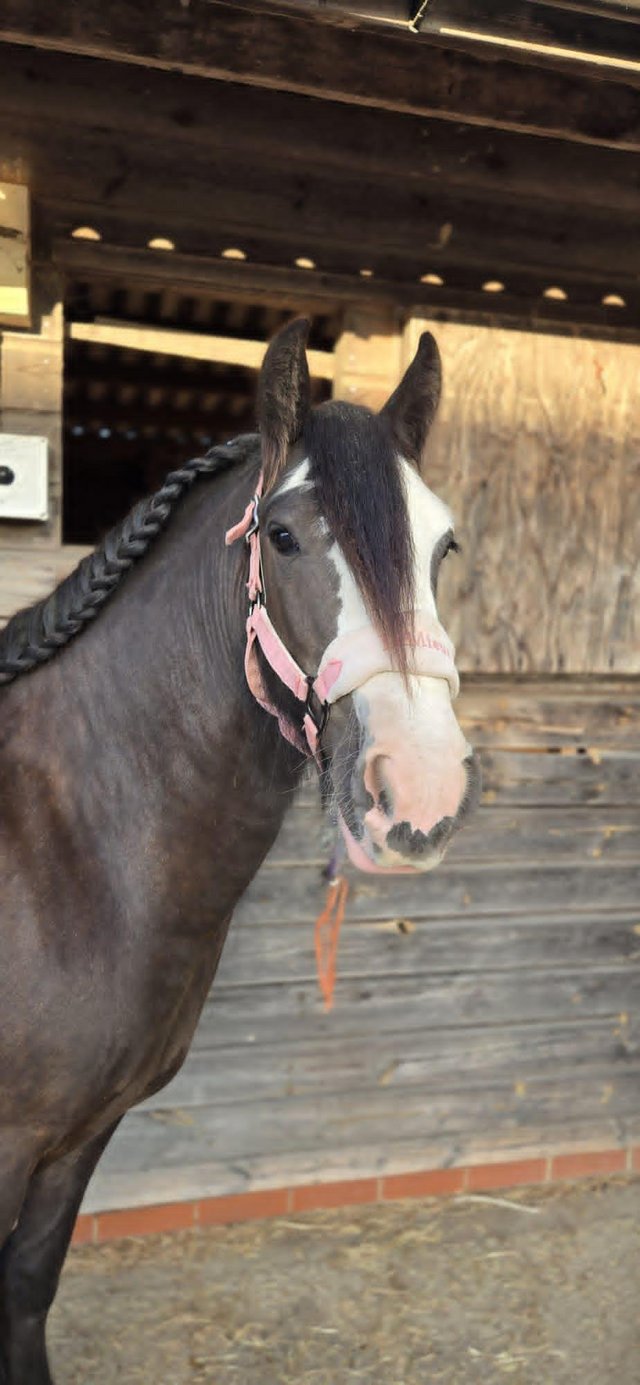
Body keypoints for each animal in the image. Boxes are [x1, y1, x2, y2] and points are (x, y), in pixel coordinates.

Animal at [0, 318, 479, 1383]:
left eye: (443, 544)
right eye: (284, 536)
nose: (421, 789)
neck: (60, 846)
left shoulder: (77, 1137)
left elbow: (27, 1294)